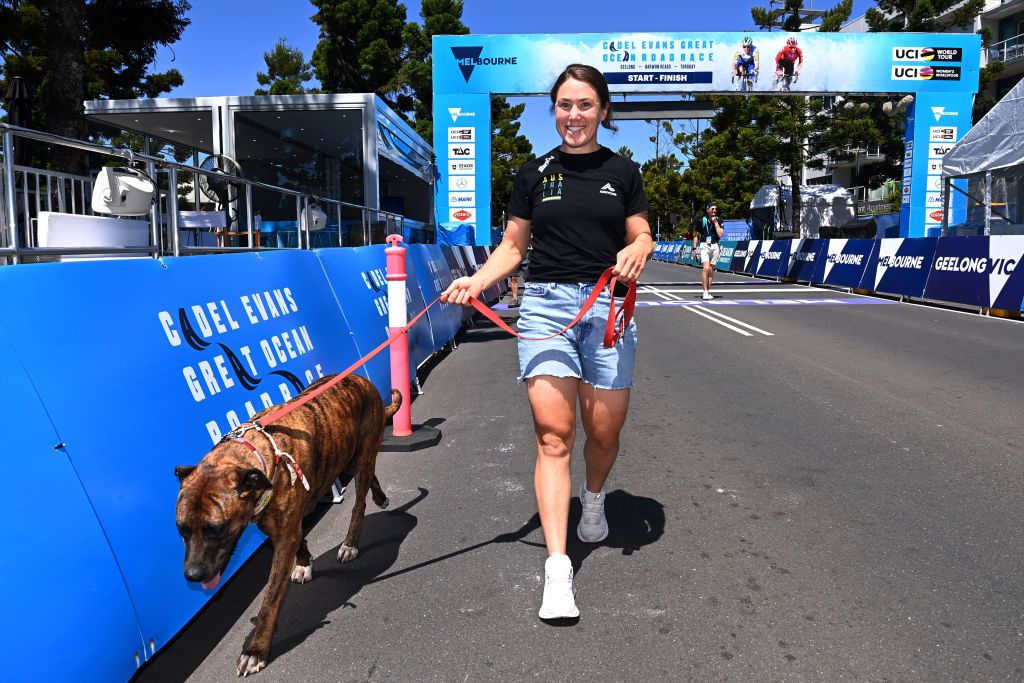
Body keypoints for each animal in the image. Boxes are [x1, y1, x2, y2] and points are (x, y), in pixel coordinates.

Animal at [176, 376, 399, 675]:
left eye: (216, 528)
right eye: (182, 530)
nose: (192, 575)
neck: (258, 455)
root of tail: (360, 378)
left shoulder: (283, 537)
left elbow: (270, 600)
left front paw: (255, 650)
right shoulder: (278, 528)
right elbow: (299, 540)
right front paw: (304, 563)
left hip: (362, 454)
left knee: (360, 502)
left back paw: (351, 542)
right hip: (350, 456)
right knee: (369, 475)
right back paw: (380, 497)